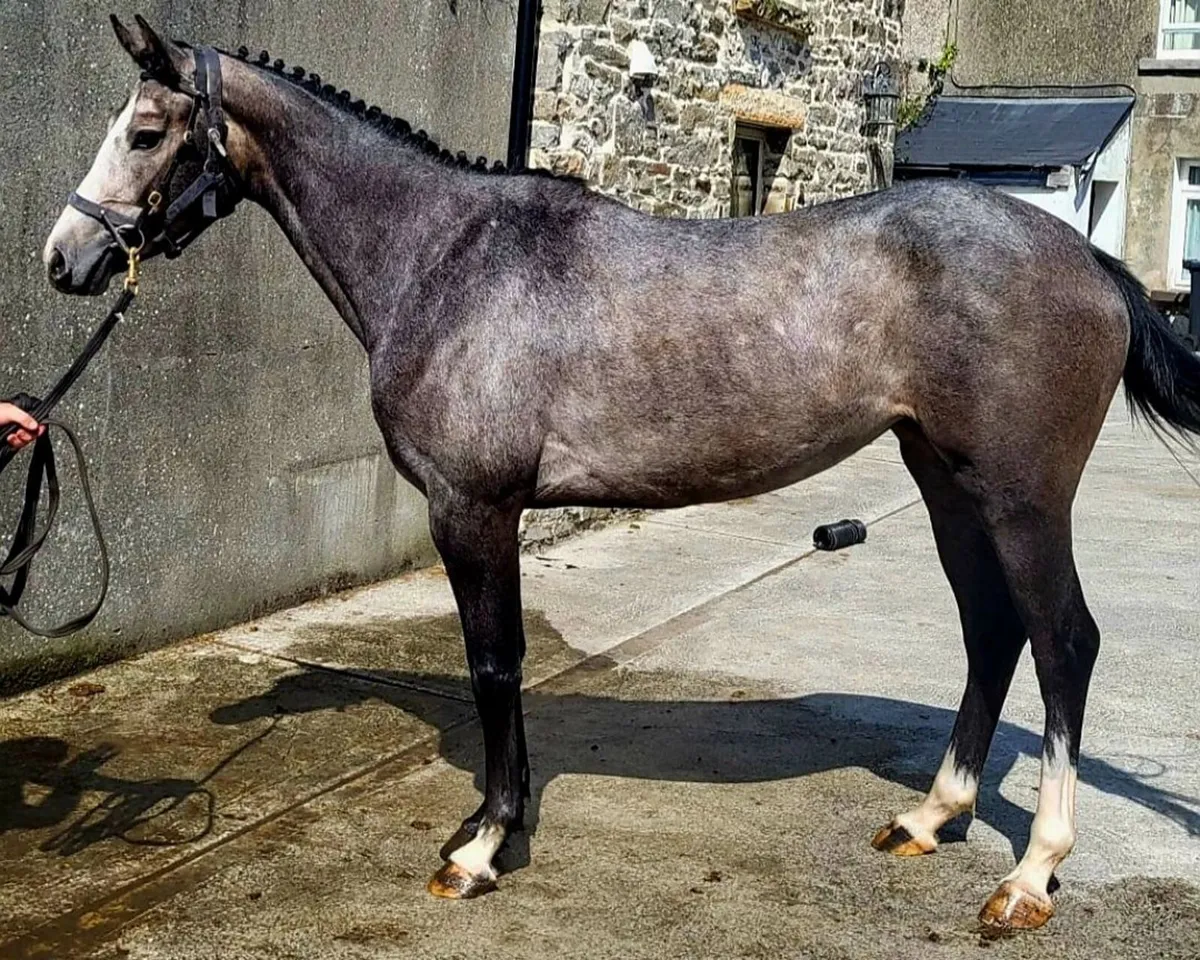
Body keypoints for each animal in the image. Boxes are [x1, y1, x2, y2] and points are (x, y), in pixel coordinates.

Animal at [41, 16, 1200, 930]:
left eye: (145, 133)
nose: (64, 259)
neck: (450, 256)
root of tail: (1090, 260)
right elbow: (498, 665)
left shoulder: (475, 509)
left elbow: (494, 663)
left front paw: (481, 847)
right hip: (945, 480)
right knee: (991, 631)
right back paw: (929, 816)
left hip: (1020, 497)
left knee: (1063, 643)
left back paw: (1032, 874)